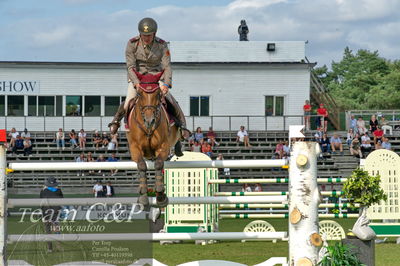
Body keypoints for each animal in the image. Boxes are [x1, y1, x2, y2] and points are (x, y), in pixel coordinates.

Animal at [126, 72, 180, 208]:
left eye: (159, 94)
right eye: (139, 94)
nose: (150, 121)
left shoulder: (163, 146)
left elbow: (159, 164)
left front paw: (161, 196)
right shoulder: (134, 148)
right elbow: (141, 166)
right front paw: (143, 197)